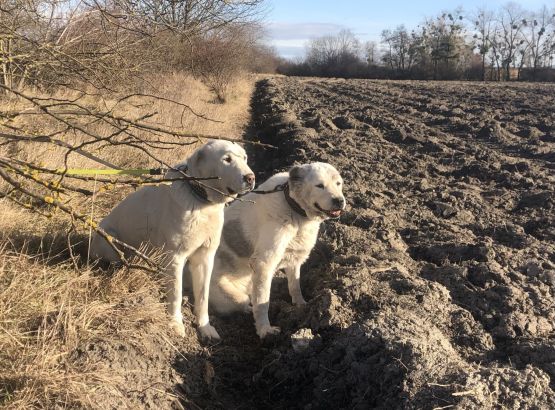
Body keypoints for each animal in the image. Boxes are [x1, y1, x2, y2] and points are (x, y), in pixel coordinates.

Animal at [90, 141, 255, 340]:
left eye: (245, 158)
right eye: (227, 159)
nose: (250, 178)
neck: (202, 203)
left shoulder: (205, 258)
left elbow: (203, 296)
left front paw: (205, 327)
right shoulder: (176, 257)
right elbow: (176, 294)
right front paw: (176, 324)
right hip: (109, 239)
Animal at [211, 162, 346, 338]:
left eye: (338, 183)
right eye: (319, 185)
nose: (339, 201)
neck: (295, 210)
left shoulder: (294, 259)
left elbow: (295, 285)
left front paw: (302, 306)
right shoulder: (263, 263)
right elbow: (262, 302)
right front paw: (265, 330)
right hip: (233, 296)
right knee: (246, 303)